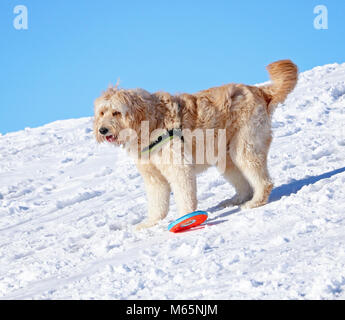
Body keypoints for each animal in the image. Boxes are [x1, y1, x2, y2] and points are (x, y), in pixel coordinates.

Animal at [93, 60, 296, 230]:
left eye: (116, 112)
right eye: (102, 113)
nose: (102, 130)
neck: (150, 122)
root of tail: (260, 91)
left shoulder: (179, 167)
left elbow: (184, 195)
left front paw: (185, 218)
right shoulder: (154, 176)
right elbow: (157, 202)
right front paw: (150, 223)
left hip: (244, 147)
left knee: (264, 181)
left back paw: (256, 201)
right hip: (226, 156)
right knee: (244, 185)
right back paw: (234, 200)